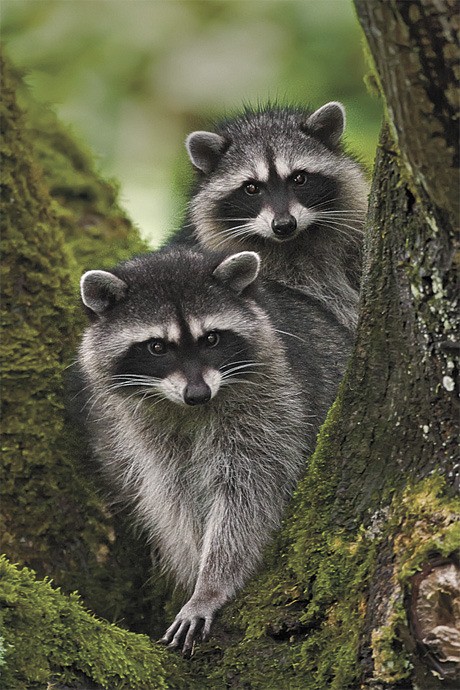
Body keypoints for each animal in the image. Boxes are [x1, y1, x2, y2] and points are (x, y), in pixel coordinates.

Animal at [78, 246, 352, 652]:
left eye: (211, 339)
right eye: (156, 347)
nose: (198, 394)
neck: (188, 410)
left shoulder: (271, 410)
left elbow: (247, 497)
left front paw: (209, 586)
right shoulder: (150, 434)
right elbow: (179, 500)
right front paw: (197, 570)